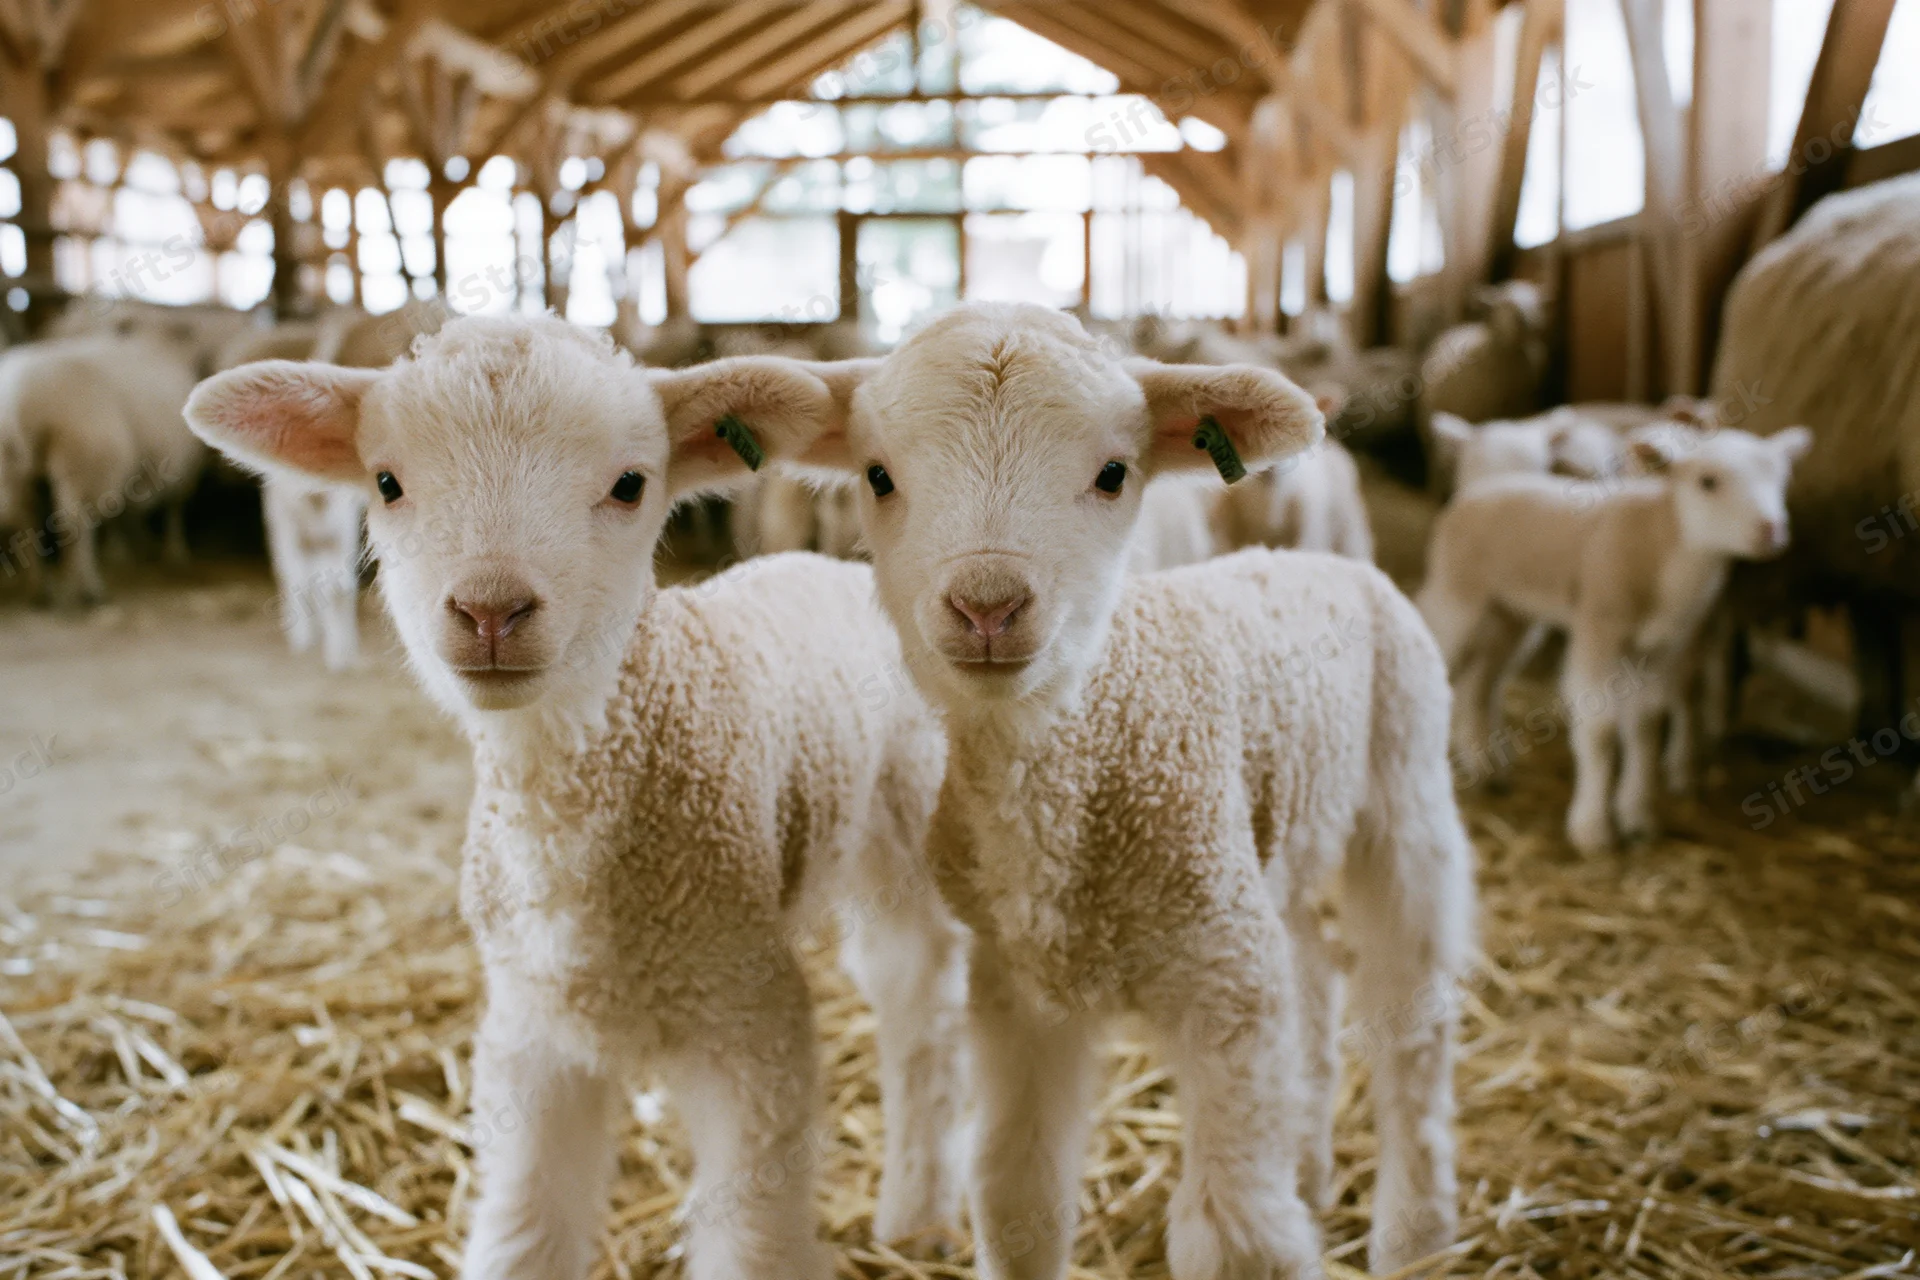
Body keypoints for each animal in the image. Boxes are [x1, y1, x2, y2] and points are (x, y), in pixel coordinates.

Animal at [0, 332, 203, 604]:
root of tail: (18, 401)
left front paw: (134, 549)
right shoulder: (181, 470)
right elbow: (174, 511)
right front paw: (174, 552)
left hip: (15, 472)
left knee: (25, 522)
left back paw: (40, 589)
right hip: (83, 460)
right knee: (74, 523)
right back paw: (88, 589)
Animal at [182, 316, 969, 1280]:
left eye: (630, 484)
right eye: (387, 482)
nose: (490, 611)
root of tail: (827, 567)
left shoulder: (750, 1014)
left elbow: (749, 1235)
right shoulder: (532, 1034)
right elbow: (527, 1222)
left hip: (907, 820)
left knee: (916, 1000)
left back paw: (918, 1212)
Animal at [801, 302, 1476, 1278]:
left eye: (1114, 474)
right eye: (878, 476)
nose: (988, 606)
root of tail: (1316, 559)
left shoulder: (1225, 985)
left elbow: (1237, 1238)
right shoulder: (1018, 998)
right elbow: (1017, 1197)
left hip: (1407, 796)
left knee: (1412, 1020)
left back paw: (1417, 1232)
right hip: (1272, 855)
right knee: (1314, 973)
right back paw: (1313, 1169)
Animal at [1419, 426, 1811, 853]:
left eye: (1781, 478)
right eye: (1707, 482)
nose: (1771, 530)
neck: (1664, 543)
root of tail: (1475, 491)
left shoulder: (1660, 647)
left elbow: (1647, 724)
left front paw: (1637, 819)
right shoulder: (1599, 627)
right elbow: (1601, 731)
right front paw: (1592, 829)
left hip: (1512, 615)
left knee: (1483, 681)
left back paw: (1488, 768)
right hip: (1458, 595)